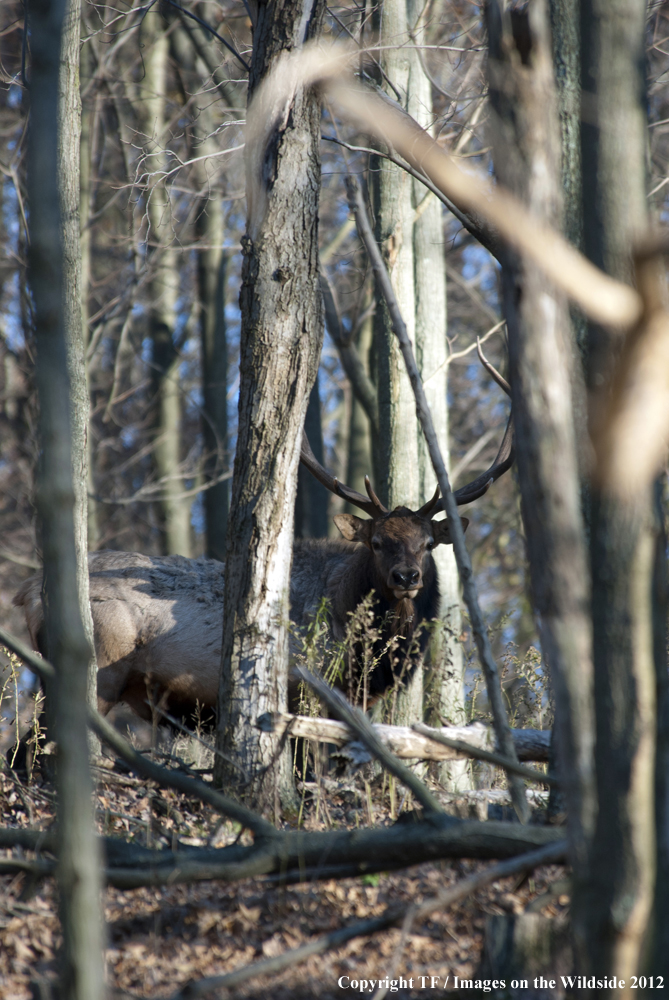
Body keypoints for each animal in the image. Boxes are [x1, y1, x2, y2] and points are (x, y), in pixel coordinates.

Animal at [13, 350, 512, 720]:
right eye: (376, 542)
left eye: (428, 544)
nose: (407, 577)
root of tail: (27, 590)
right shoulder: (307, 689)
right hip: (98, 667)